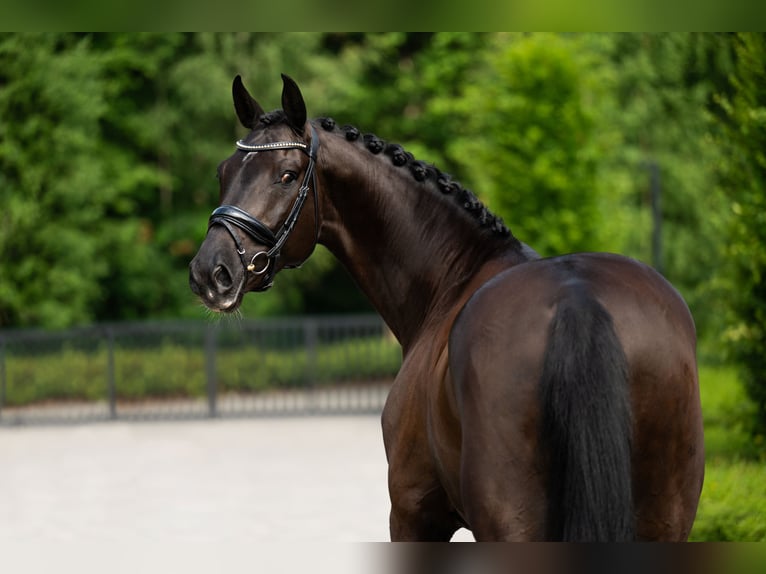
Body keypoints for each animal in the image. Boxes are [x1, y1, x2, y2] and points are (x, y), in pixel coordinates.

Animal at [189, 74, 704, 541]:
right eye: (222, 172)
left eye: (288, 175)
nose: (210, 272)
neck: (451, 279)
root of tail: (577, 299)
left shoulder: (413, 511)